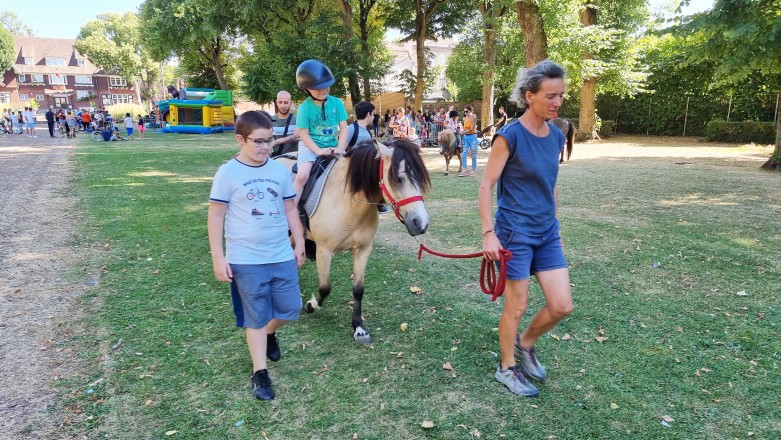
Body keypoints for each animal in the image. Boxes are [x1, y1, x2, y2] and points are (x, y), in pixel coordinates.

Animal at [276, 138, 432, 344]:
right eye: (398, 179)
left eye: (420, 179)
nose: (421, 223)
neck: (348, 201)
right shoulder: (323, 251)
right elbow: (325, 287)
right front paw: (311, 305)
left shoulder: (363, 249)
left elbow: (358, 289)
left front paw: (359, 327)